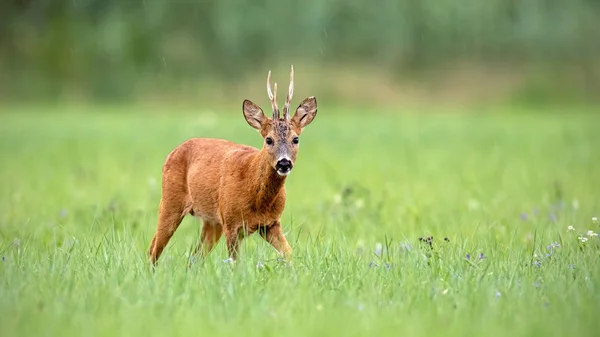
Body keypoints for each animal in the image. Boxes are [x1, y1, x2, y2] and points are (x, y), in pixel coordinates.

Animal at [148, 65, 318, 264]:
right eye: (268, 139)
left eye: (296, 139)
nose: (284, 163)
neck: (258, 201)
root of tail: (172, 152)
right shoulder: (231, 223)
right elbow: (235, 263)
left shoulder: (271, 223)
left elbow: (290, 255)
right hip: (170, 200)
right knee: (153, 249)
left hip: (211, 221)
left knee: (194, 257)